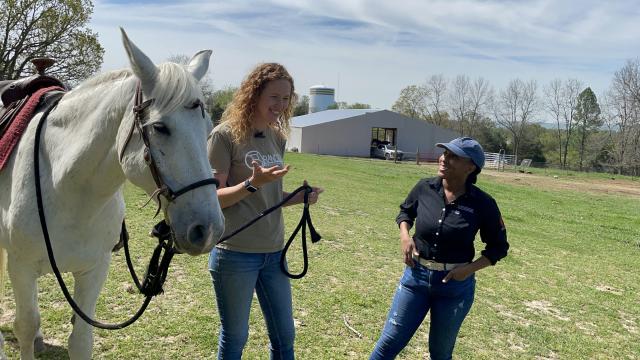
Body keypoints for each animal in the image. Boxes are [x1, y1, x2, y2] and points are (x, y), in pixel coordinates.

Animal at [0, 29, 225, 358]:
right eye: (160, 127)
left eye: (208, 127)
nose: (207, 230)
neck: (68, 188)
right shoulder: (21, 267)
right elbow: (26, 326)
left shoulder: (94, 269)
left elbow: (80, 340)